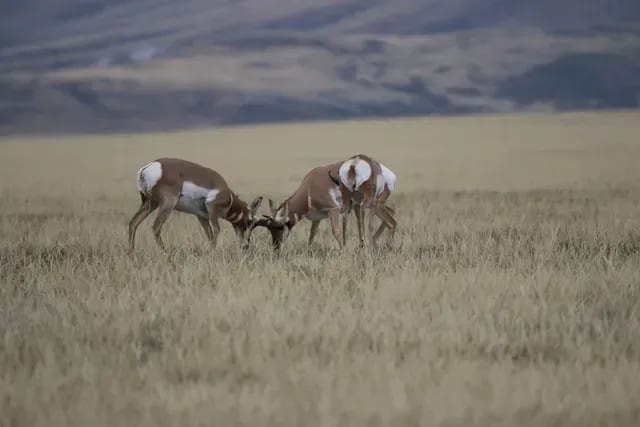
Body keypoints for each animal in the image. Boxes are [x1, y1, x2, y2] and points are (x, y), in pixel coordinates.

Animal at [127, 158, 263, 253]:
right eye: (250, 222)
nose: (245, 246)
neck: (227, 195)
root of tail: (148, 168)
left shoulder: (201, 216)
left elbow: (209, 234)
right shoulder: (213, 211)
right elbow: (217, 230)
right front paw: (212, 252)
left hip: (150, 203)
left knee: (133, 222)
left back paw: (131, 253)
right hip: (167, 204)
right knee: (156, 227)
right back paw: (166, 251)